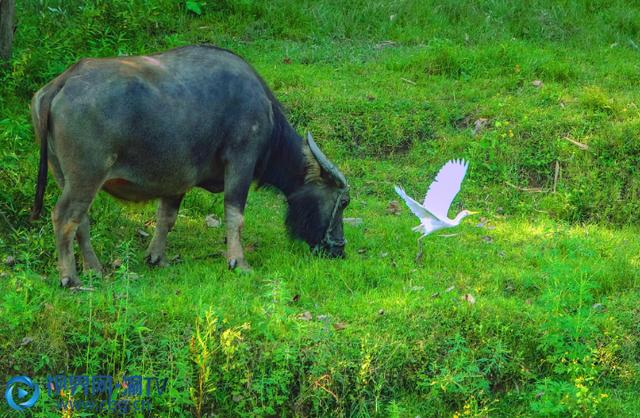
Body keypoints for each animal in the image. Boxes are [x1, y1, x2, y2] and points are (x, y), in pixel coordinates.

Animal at [30, 45, 350, 288]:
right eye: (344, 202)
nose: (339, 248)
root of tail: (62, 82)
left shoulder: (175, 181)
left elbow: (166, 218)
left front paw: (157, 258)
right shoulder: (241, 161)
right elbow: (235, 215)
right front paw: (239, 262)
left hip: (64, 176)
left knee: (79, 220)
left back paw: (94, 269)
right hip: (86, 176)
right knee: (64, 217)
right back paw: (70, 278)